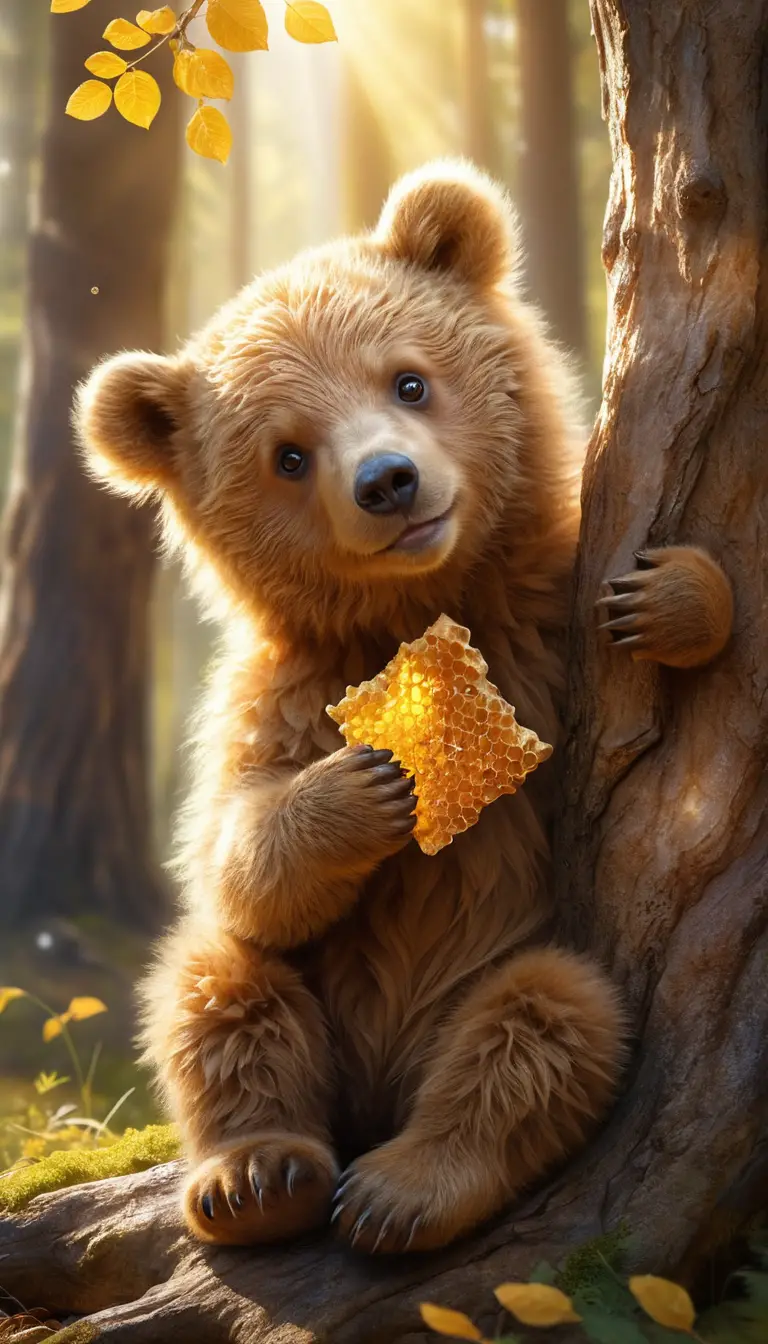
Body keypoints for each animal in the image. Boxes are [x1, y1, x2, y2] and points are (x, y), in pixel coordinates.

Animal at [76, 160, 734, 1255]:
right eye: (288, 454)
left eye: (409, 380)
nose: (388, 481)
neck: (424, 604)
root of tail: (383, 1092)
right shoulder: (283, 693)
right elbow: (236, 851)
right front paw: (367, 786)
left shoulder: (540, 631)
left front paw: (672, 597)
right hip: (304, 1003)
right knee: (216, 988)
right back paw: (259, 1177)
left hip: (511, 965)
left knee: (548, 1022)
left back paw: (405, 1186)